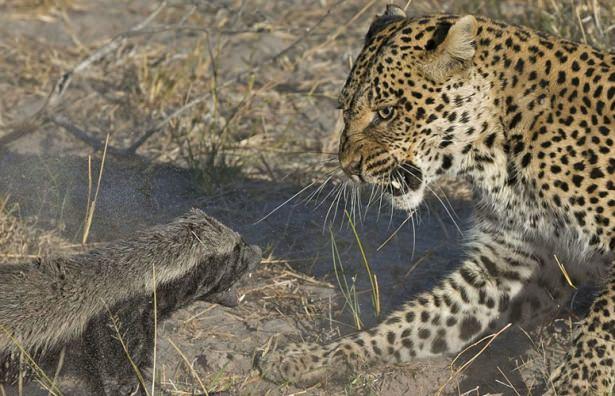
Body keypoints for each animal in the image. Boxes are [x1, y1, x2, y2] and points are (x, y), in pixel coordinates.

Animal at [258, 4, 612, 394]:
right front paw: (315, 357)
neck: (496, 158)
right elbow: (418, 320)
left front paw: (577, 385)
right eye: (344, 110)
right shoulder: (508, 265)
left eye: (386, 112)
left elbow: (600, 326)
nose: (348, 166)